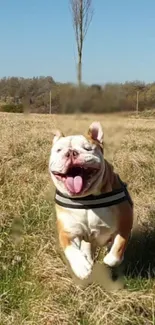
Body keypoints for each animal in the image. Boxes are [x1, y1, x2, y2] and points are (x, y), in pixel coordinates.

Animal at [49, 121, 133, 278]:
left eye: (87, 148)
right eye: (59, 150)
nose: (71, 152)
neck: (86, 199)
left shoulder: (125, 223)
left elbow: (118, 246)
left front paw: (111, 258)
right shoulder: (67, 231)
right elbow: (71, 249)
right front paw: (81, 267)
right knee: (87, 246)